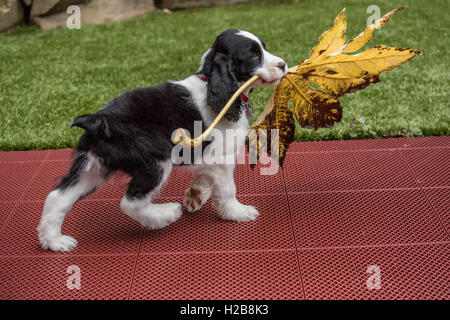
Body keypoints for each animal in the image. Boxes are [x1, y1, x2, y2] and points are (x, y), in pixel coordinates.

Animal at [37, 29, 286, 250]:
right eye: (254, 55)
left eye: (264, 47)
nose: (283, 64)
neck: (210, 85)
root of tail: (99, 120)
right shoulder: (222, 157)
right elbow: (227, 190)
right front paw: (238, 212)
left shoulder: (205, 156)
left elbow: (205, 177)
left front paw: (195, 196)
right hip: (155, 161)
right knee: (131, 201)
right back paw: (166, 214)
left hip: (94, 167)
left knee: (57, 198)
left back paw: (54, 242)